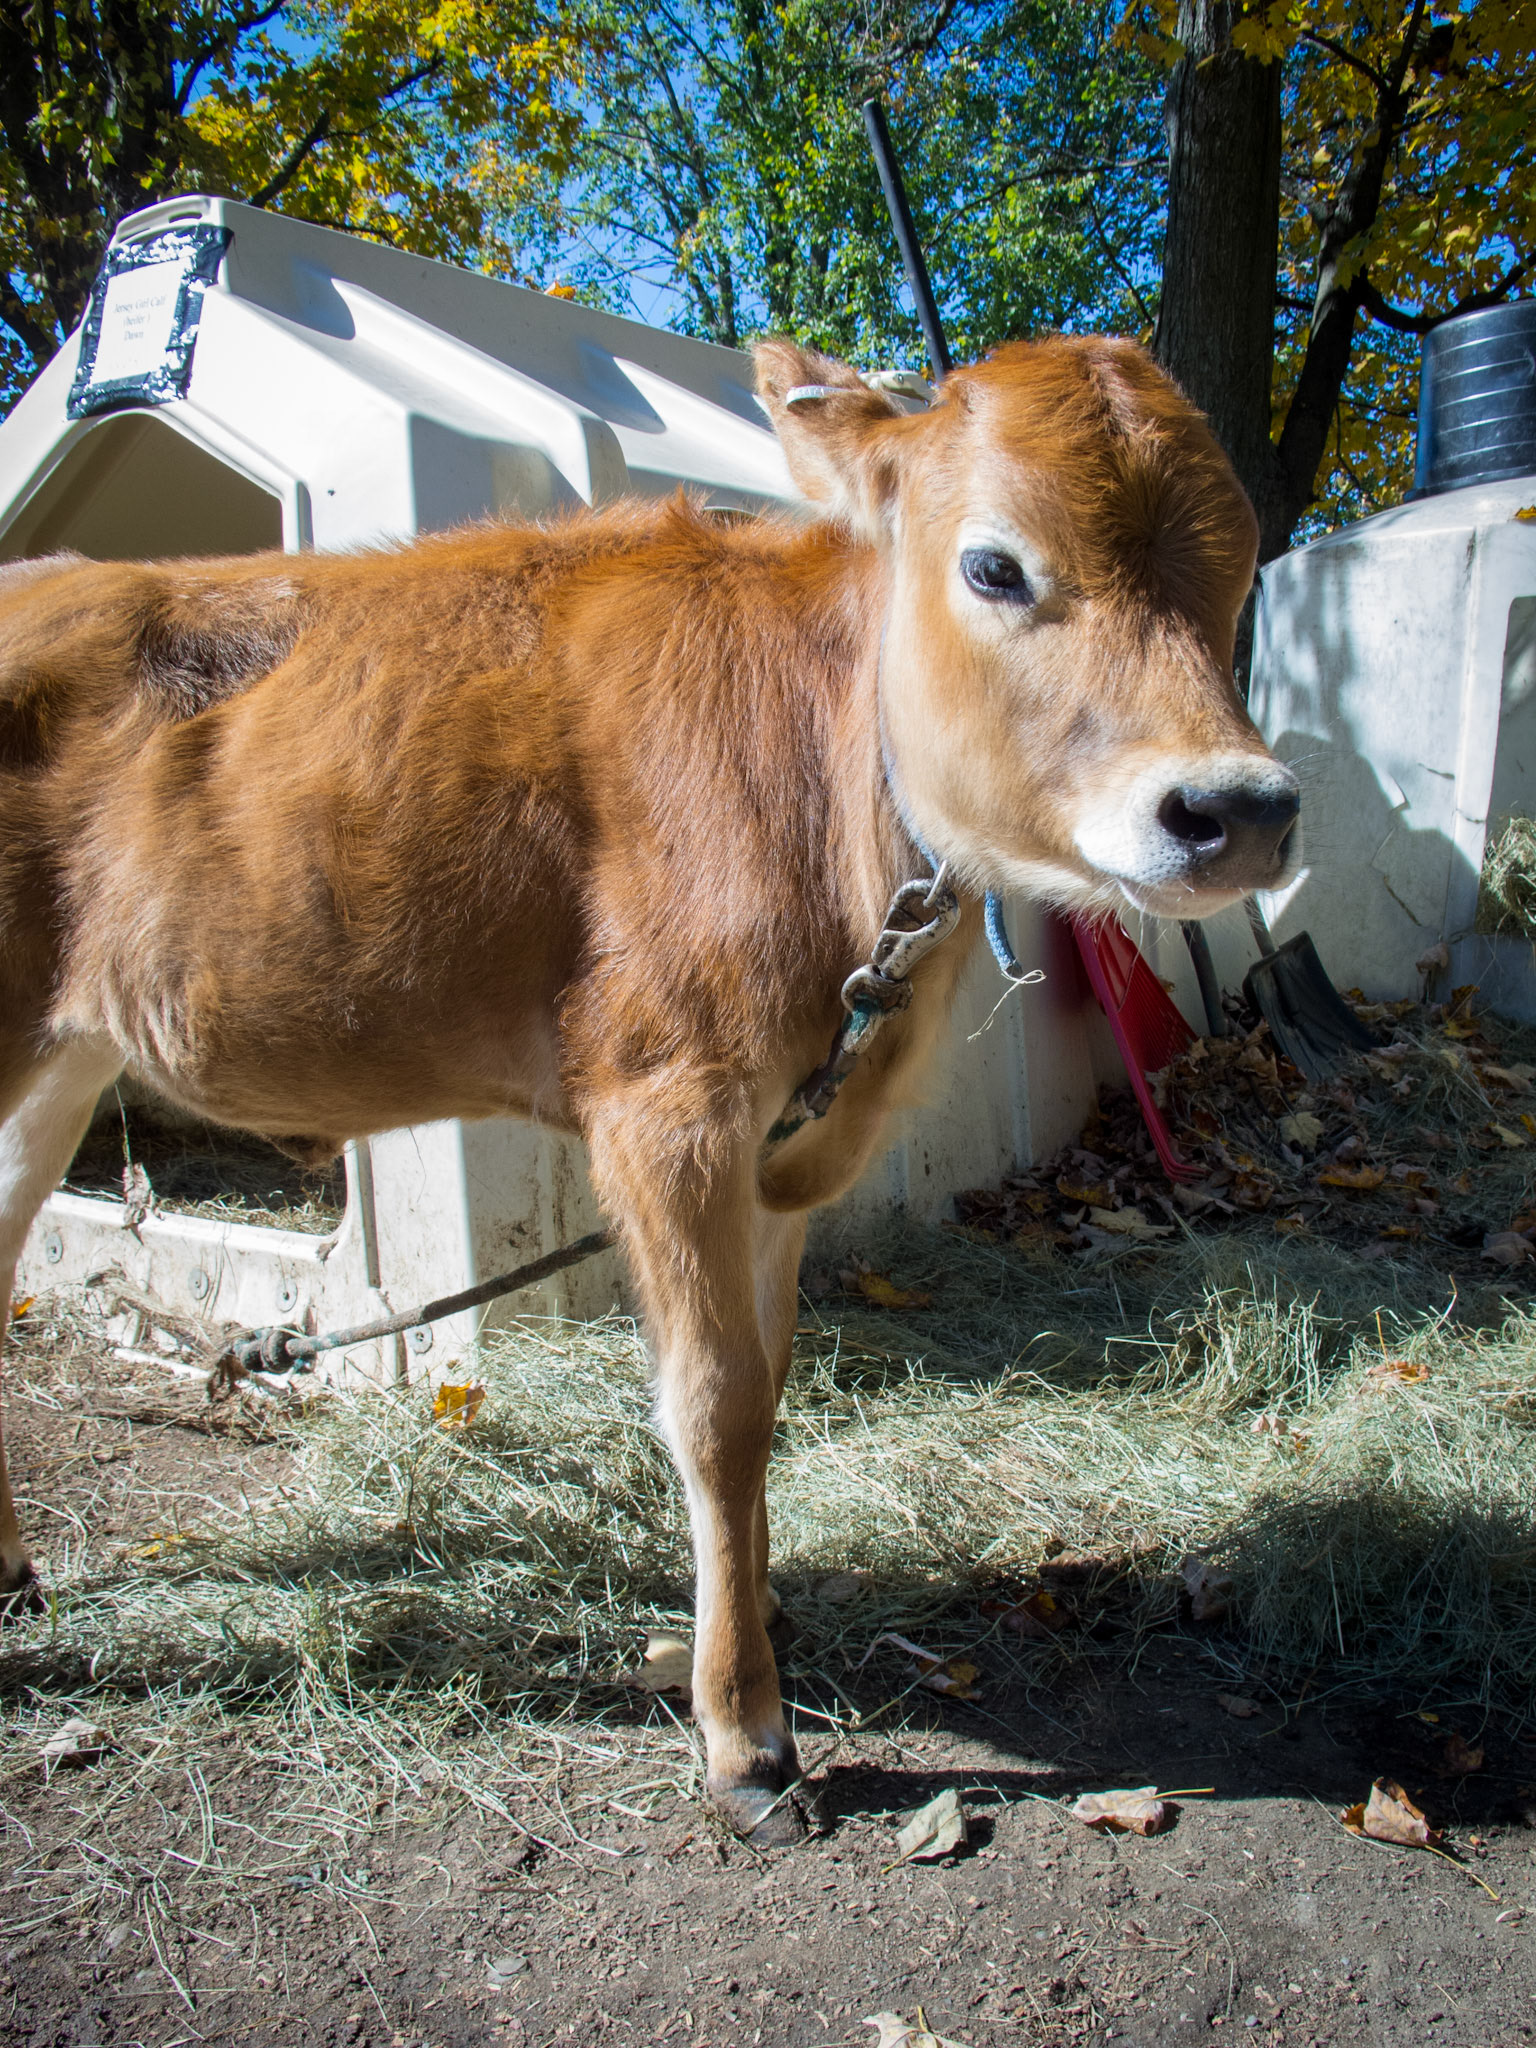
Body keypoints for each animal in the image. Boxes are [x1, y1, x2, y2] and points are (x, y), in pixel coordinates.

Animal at [0, 336, 1299, 1839]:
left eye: (1244, 562)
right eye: (993, 566)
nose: (1239, 809)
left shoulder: (789, 1135)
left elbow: (773, 1378)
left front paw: (763, 1623)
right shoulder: (669, 1102)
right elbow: (714, 1404)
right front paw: (744, 1732)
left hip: (63, 1058)